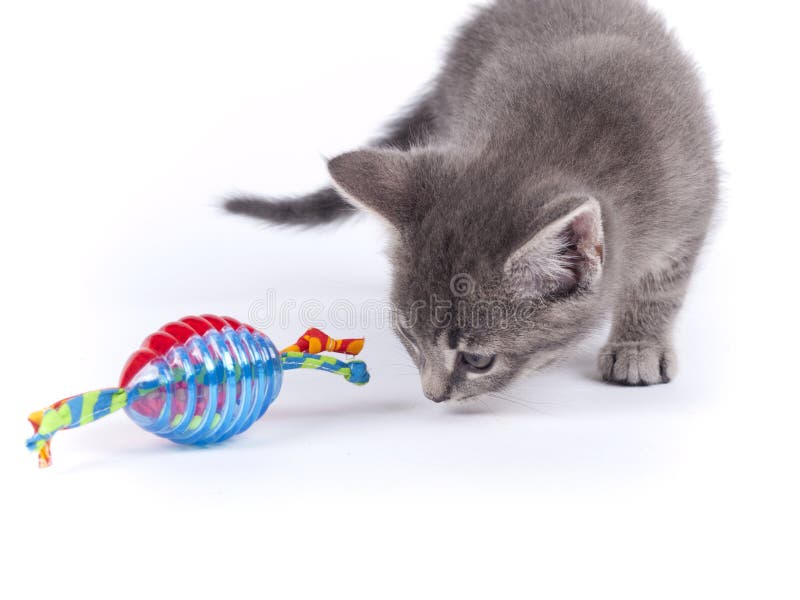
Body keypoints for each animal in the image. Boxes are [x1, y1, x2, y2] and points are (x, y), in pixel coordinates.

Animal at [227, 1, 720, 404]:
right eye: (407, 335)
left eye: (478, 360)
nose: (432, 397)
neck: (556, 144)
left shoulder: (694, 199)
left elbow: (662, 285)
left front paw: (638, 345)